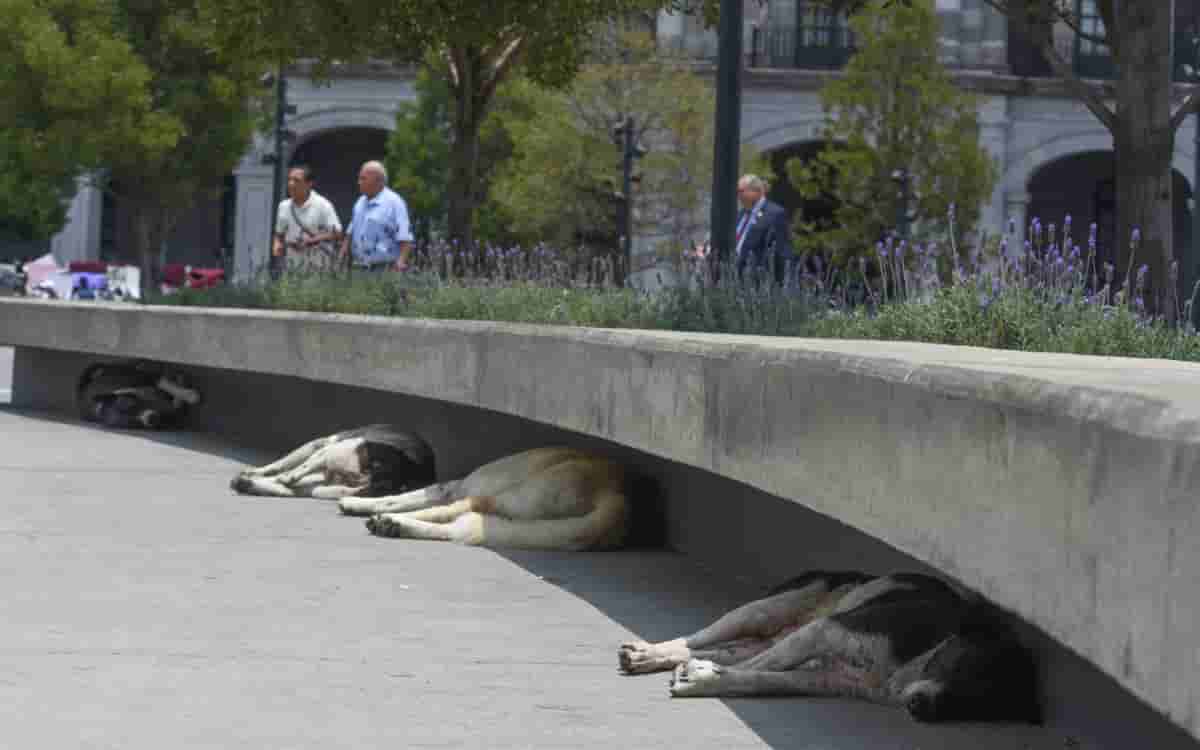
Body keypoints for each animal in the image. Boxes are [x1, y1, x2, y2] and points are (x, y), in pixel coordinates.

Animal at [338, 444, 633, 549]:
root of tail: (619, 495)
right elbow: (399, 497)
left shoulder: (454, 489)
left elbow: (406, 499)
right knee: (459, 527)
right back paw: (395, 526)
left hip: (510, 494)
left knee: (455, 513)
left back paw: (390, 521)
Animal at [619, 571, 1041, 724]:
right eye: (963, 666)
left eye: (978, 706)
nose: (922, 709)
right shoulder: (827, 630)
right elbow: (755, 668)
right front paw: (703, 678)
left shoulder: (827, 676)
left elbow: (760, 677)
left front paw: (706, 679)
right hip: (767, 609)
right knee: (697, 639)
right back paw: (648, 652)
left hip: (777, 632)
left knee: (725, 651)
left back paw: (654, 659)